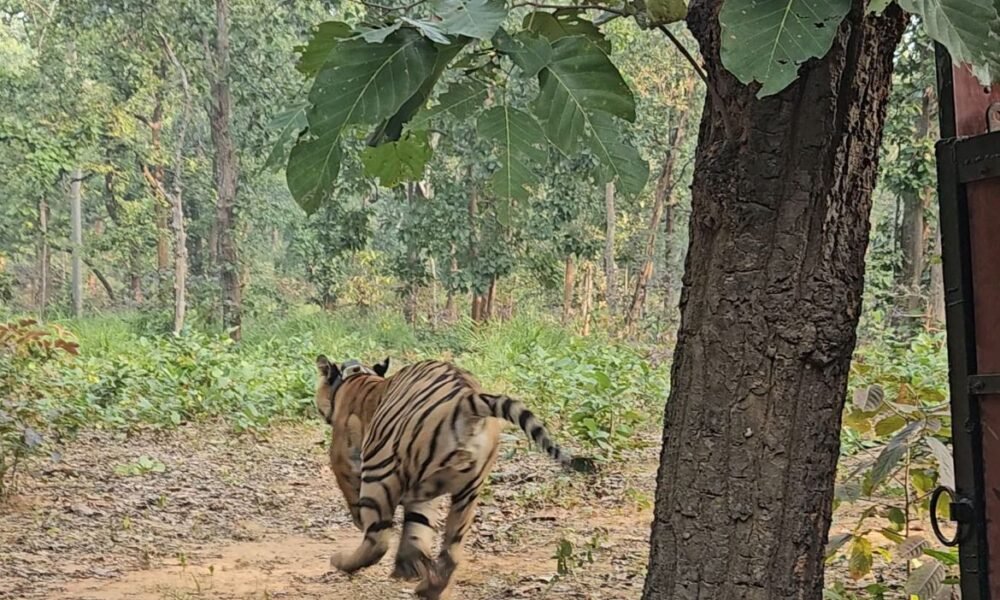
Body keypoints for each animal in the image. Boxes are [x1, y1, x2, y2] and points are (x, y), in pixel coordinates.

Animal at [316, 356, 588, 600]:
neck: (357, 377)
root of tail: (467, 400)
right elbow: (418, 527)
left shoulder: (342, 457)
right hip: (468, 491)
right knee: (450, 550)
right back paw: (427, 586)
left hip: (379, 469)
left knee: (378, 541)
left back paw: (342, 561)